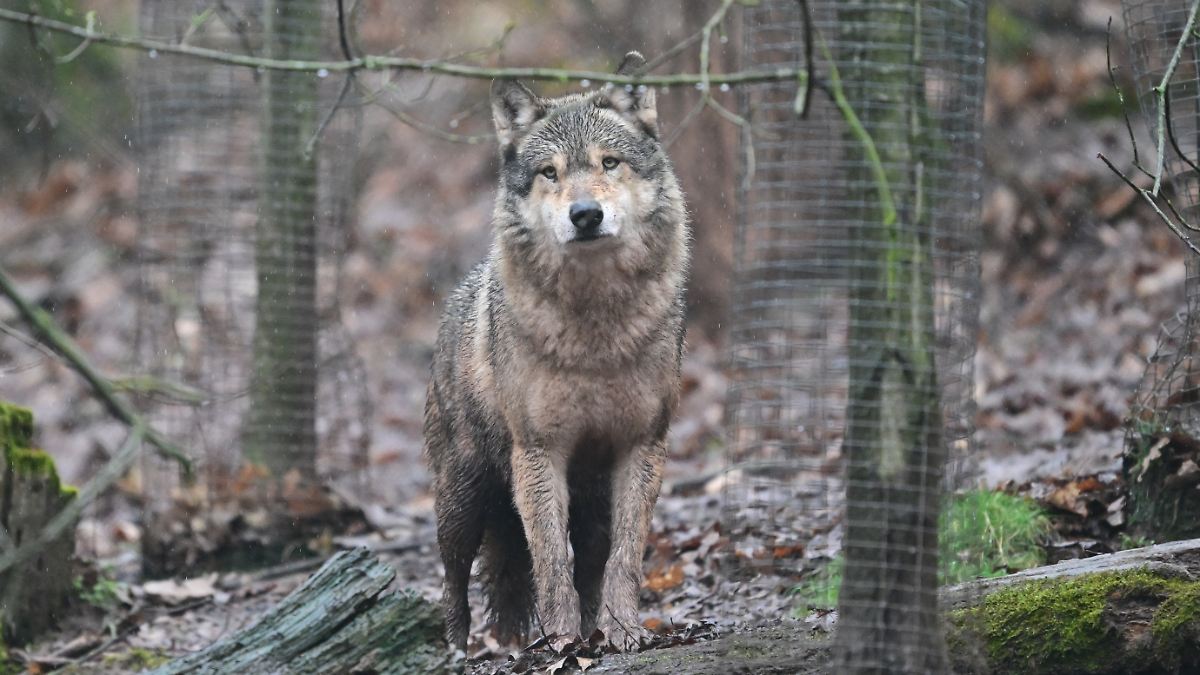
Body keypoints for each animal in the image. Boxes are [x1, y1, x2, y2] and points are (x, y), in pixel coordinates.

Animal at [423, 51, 689, 652]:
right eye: (551, 173)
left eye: (609, 164)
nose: (585, 214)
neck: (596, 332)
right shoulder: (539, 451)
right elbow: (548, 561)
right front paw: (564, 641)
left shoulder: (642, 445)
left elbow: (624, 558)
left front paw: (621, 631)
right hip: (464, 495)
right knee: (453, 577)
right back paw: (457, 649)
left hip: (587, 500)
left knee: (586, 558)